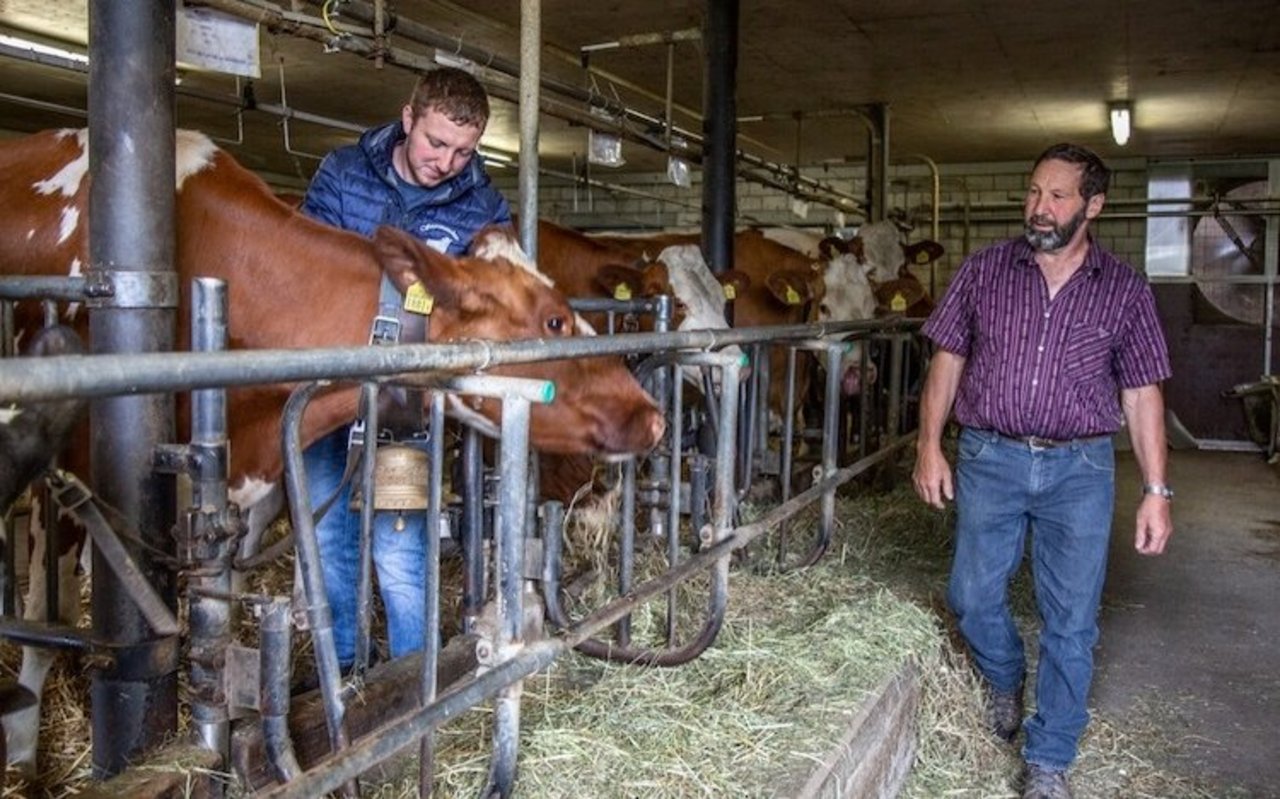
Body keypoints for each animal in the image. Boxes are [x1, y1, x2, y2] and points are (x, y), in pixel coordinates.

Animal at [0, 126, 660, 773]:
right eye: (554, 321)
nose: (652, 417)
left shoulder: (236, 489)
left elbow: (222, 605)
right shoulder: (69, 474)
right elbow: (51, 615)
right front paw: (24, 753)